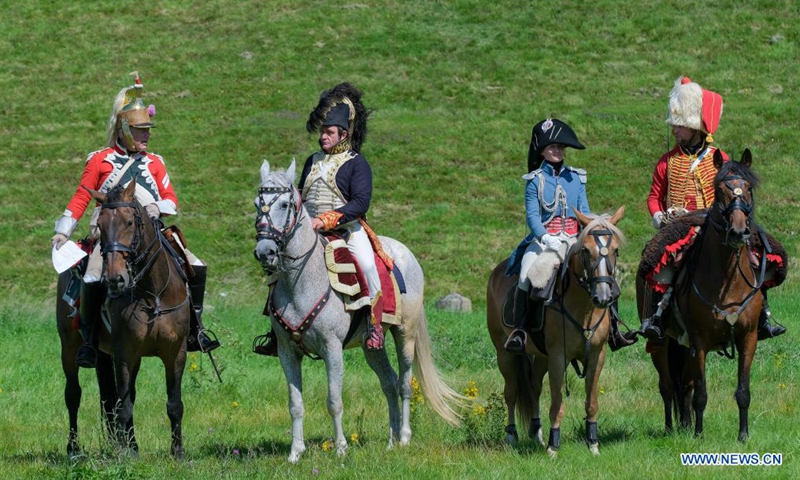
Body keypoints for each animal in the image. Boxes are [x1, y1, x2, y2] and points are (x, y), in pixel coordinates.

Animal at [55, 180, 192, 458]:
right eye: (101, 224)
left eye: (130, 222)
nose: (114, 278)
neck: (153, 294)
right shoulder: (124, 354)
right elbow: (124, 405)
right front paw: (129, 453)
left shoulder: (176, 353)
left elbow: (174, 403)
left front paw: (178, 452)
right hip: (70, 347)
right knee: (74, 395)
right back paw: (74, 448)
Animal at [250, 161, 462, 464]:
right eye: (258, 203)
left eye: (284, 204)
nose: (264, 251)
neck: (300, 282)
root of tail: (406, 254)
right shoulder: (287, 352)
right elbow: (295, 403)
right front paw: (295, 453)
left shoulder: (332, 348)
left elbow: (334, 401)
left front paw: (340, 449)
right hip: (371, 345)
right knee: (388, 382)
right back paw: (390, 442)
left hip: (404, 334)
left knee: (404, 383)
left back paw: (404, 437)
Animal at [488, 207, 624, 458]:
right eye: (585, 250)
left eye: (615, 250)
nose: (603, 297)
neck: (584, 307)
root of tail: (497, 272)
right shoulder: (559, 357)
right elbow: (557, 404)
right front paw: (554, 446)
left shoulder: (597, 355)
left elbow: (591, 402)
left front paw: (593, 443)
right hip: (504, 352)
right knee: (511, 391)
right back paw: (512, 435)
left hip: (541, 356)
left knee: (534, 388)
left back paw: (537, 432)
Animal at [640, 148, 764, 440]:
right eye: (719, 190)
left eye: (748, 188)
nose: (738, 231)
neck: (728, 281)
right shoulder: (699, 341)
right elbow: (701, 394)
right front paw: (699, 434)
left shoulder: (748, 338)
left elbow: (743, 392)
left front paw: (743, 435)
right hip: (662, 343)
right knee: (667, 387)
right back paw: (671, 428)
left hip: (683, 345)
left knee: (683, 385)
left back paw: (684, 425)